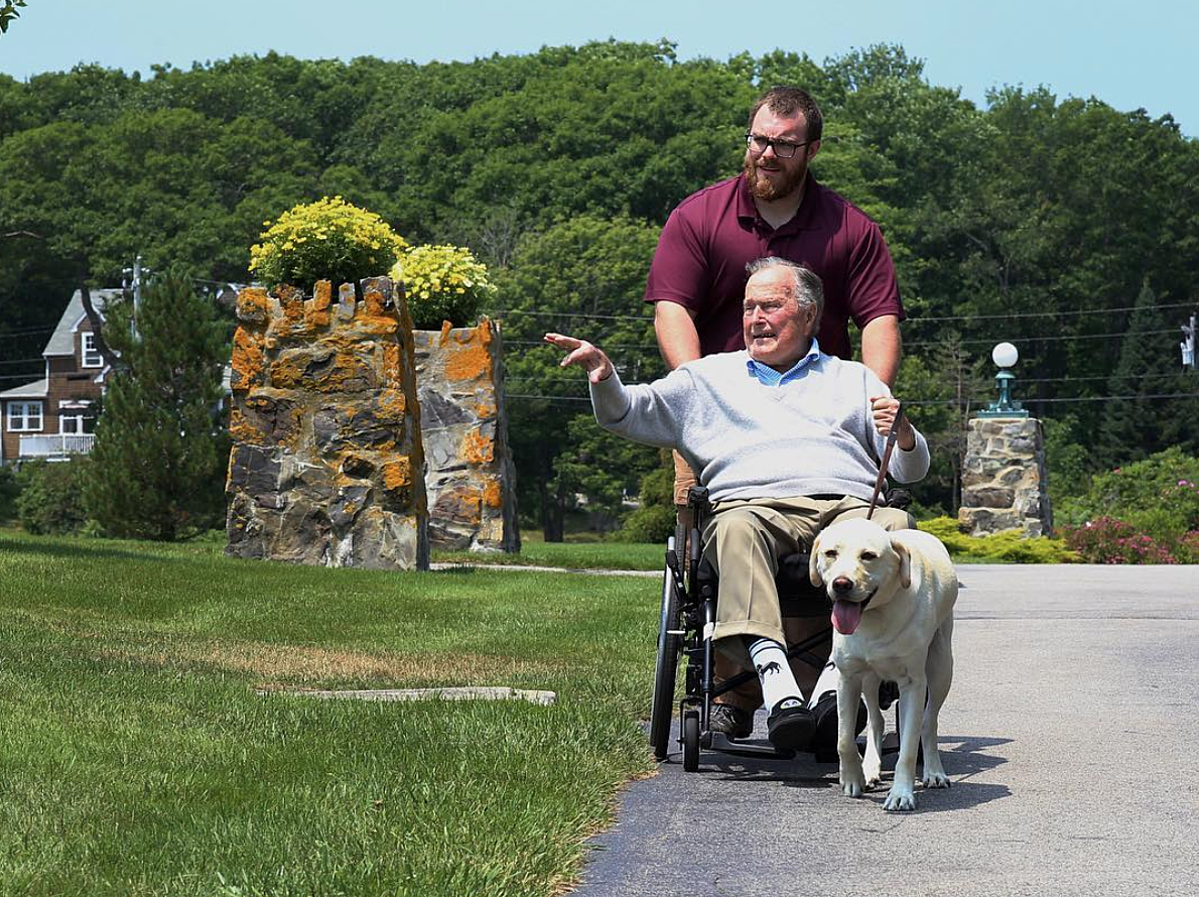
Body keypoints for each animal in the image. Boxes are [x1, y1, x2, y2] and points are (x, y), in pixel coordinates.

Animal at [810, 510, 959, 810]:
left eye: (868, 556)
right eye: (831, 553)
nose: (841, 584)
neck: (874, 616)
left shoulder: (914, 683)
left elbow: (909, 746)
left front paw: (901, 793)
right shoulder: (847, 677)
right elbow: (844, 738)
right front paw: (853, 778)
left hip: (941, 667)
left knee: (929, 722)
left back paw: (934, 772)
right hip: (869, 678)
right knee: (876, 719)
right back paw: (870, 768)